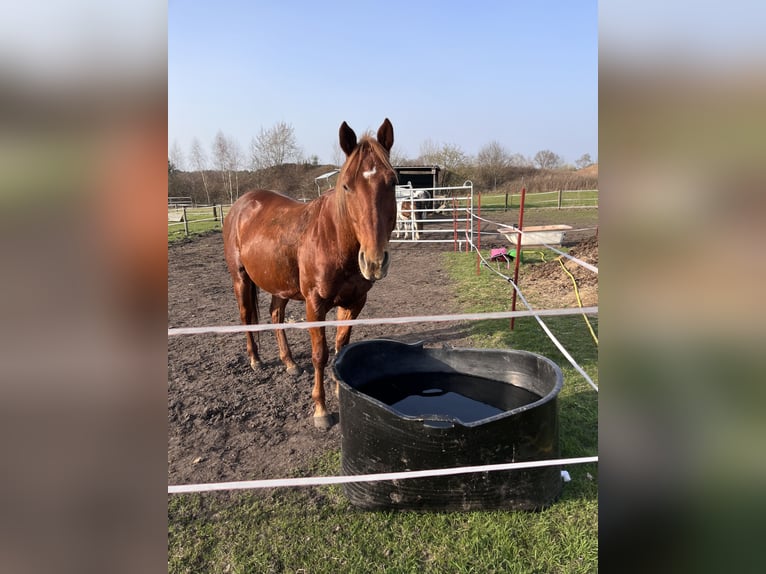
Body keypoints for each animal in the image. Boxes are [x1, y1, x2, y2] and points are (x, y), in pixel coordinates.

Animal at [223, 119, 397, 429]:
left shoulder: (354, 303)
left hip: (280, 284)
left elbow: (341, 348)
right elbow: (320, 355)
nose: (375, 261)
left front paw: (341, 389)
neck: (334, 239)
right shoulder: (315, 305)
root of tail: (241, 205)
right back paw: (255, 360)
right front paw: (321, 410)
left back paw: (289, 362)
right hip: (241, 279)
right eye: (347, 186)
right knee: (246, 316)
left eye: (393, 181)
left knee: (275, 314)